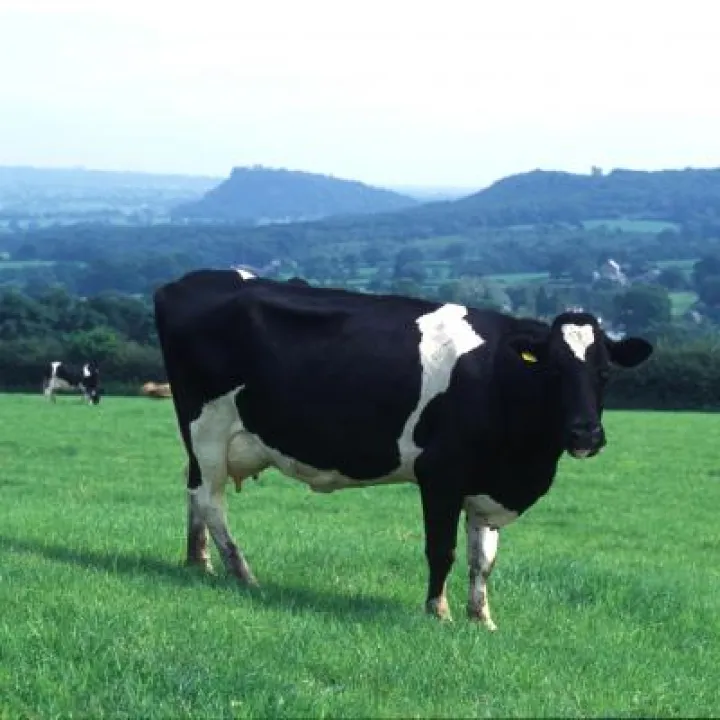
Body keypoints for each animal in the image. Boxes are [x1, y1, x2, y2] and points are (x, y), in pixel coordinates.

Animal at [153, 268, 653, 630]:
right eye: (553, 372)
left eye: (605, 373)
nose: (586, 434)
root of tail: (189, 281)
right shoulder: (441, 474)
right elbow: (442, 550)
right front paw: (438, 612)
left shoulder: (487, 487)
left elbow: (483, 560)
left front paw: (482, 619)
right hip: (209, 429)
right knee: (210, 500)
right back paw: (242, 573)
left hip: (201, 441)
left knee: (192, 490)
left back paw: (198, 562)